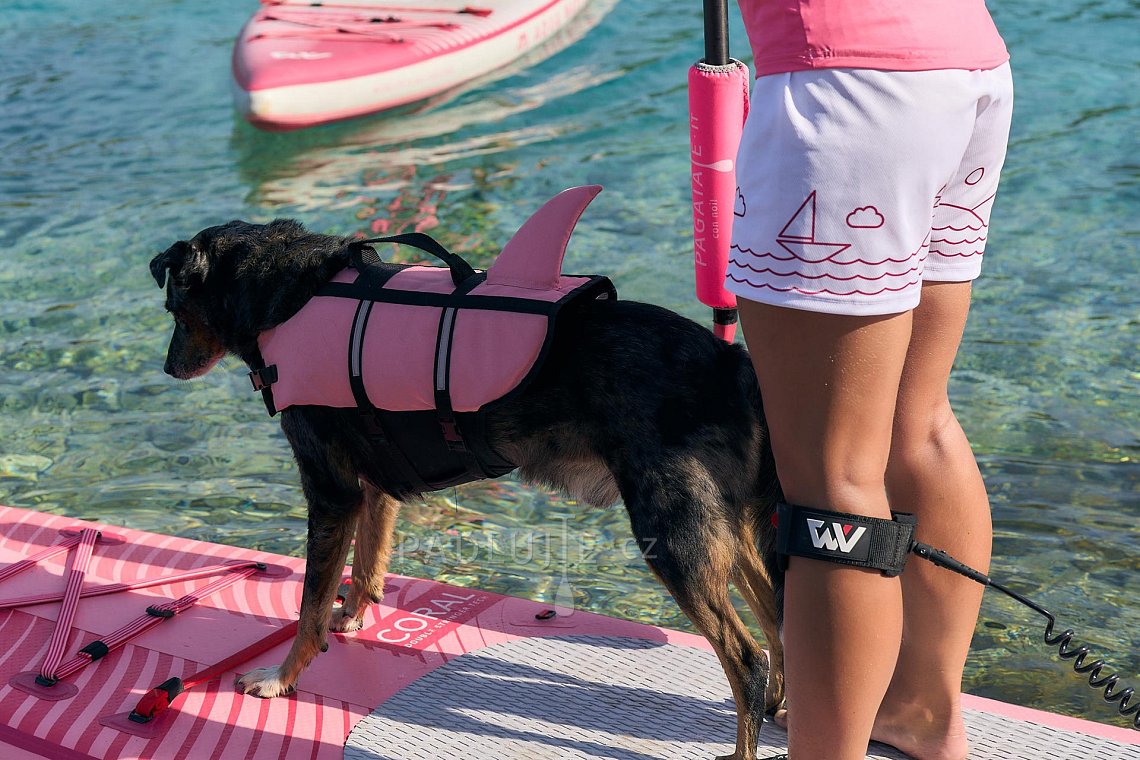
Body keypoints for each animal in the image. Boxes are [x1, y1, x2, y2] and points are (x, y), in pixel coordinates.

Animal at [151, 216, 788, 756]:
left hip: (674, 535)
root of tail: (730, 362)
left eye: (174, 309)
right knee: (777, 618)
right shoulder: (372, 487)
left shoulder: (332, 492)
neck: (291, 296)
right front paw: (353, 614)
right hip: (726, 527)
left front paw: (280, 679)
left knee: (745, 658)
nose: (167, 368)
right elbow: (366, 565)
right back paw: (780, 702)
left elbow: (308, 607)